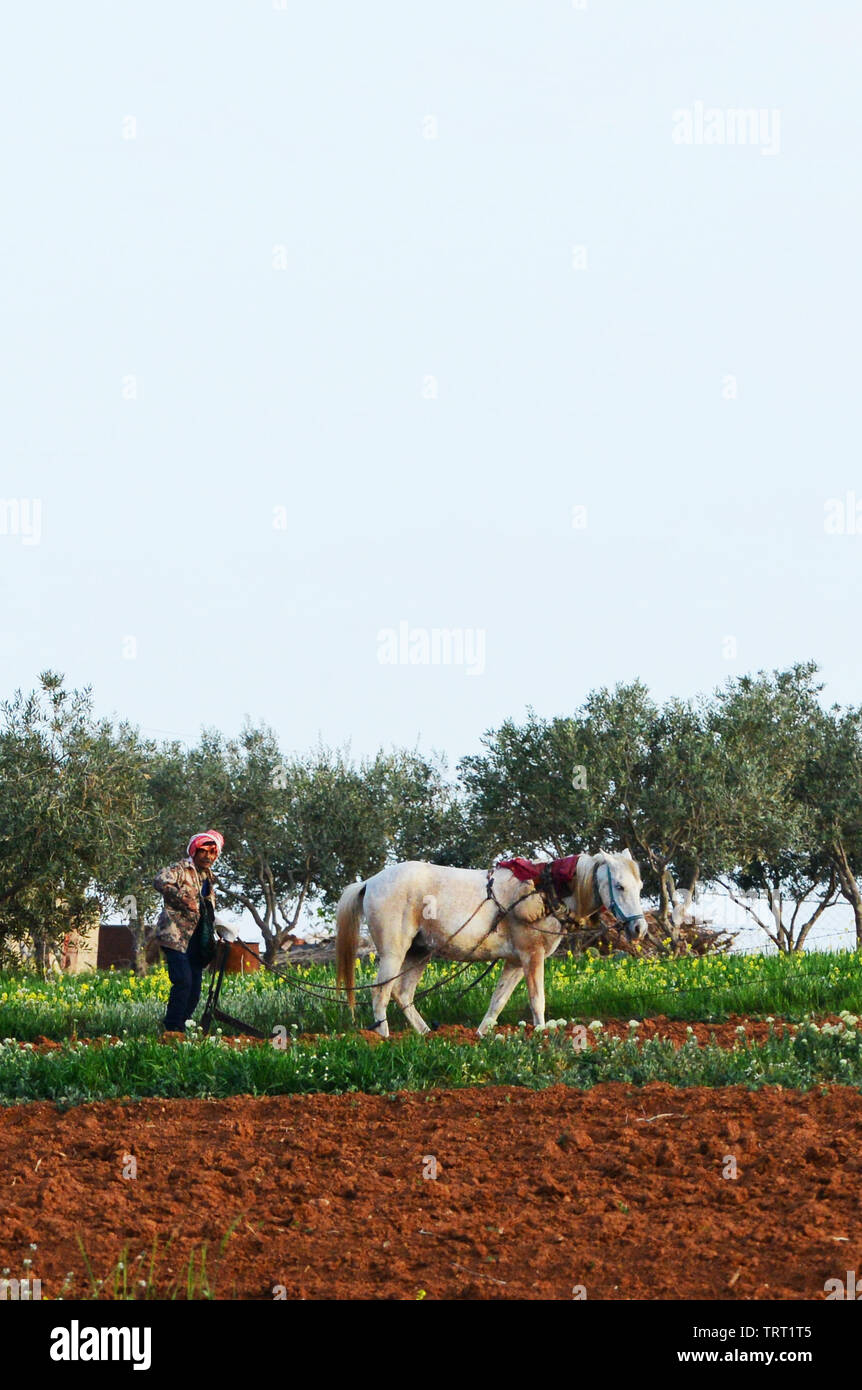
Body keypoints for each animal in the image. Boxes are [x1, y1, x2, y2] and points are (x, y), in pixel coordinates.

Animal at [336, 850, 645, 1039]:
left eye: (639, 886)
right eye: (619, 886)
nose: (640, 928)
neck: (545, 891)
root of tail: (370, 882)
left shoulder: (515, 962)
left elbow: (498, 1002)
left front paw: (481, 1036)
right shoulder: (532, 955)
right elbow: (537, 1001)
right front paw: (543, 1036)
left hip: (419, 952)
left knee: (403, 995)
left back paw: (425, 1035)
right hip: (394, 953)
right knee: (380, 994)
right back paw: (384, 1038)